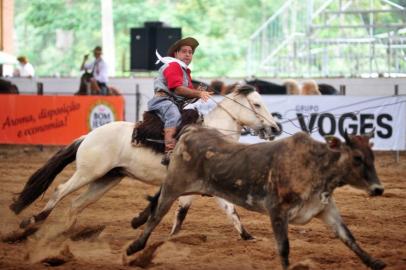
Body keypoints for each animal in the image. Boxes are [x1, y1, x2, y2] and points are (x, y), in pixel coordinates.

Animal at [11, 85, 280, 240]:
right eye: (257, 104)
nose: (276, 128)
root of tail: (88, 135)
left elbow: (212, 210)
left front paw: (248, 237)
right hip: (88, 173)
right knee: (59, 191)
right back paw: (31, 222)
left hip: (107, 179)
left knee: (76, 205)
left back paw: (62, 234)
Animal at [128, 125, 386, 268]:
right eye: (357, 158)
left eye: (372, 156)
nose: (378, 189)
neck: (314, 165)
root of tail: (193, 130)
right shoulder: (277, 211)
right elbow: (284, 247)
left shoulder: (326, 209)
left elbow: (348, 237)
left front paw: (374, 262)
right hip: (174, 186)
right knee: (157, 215)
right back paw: (134, 247)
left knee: (156, 204)